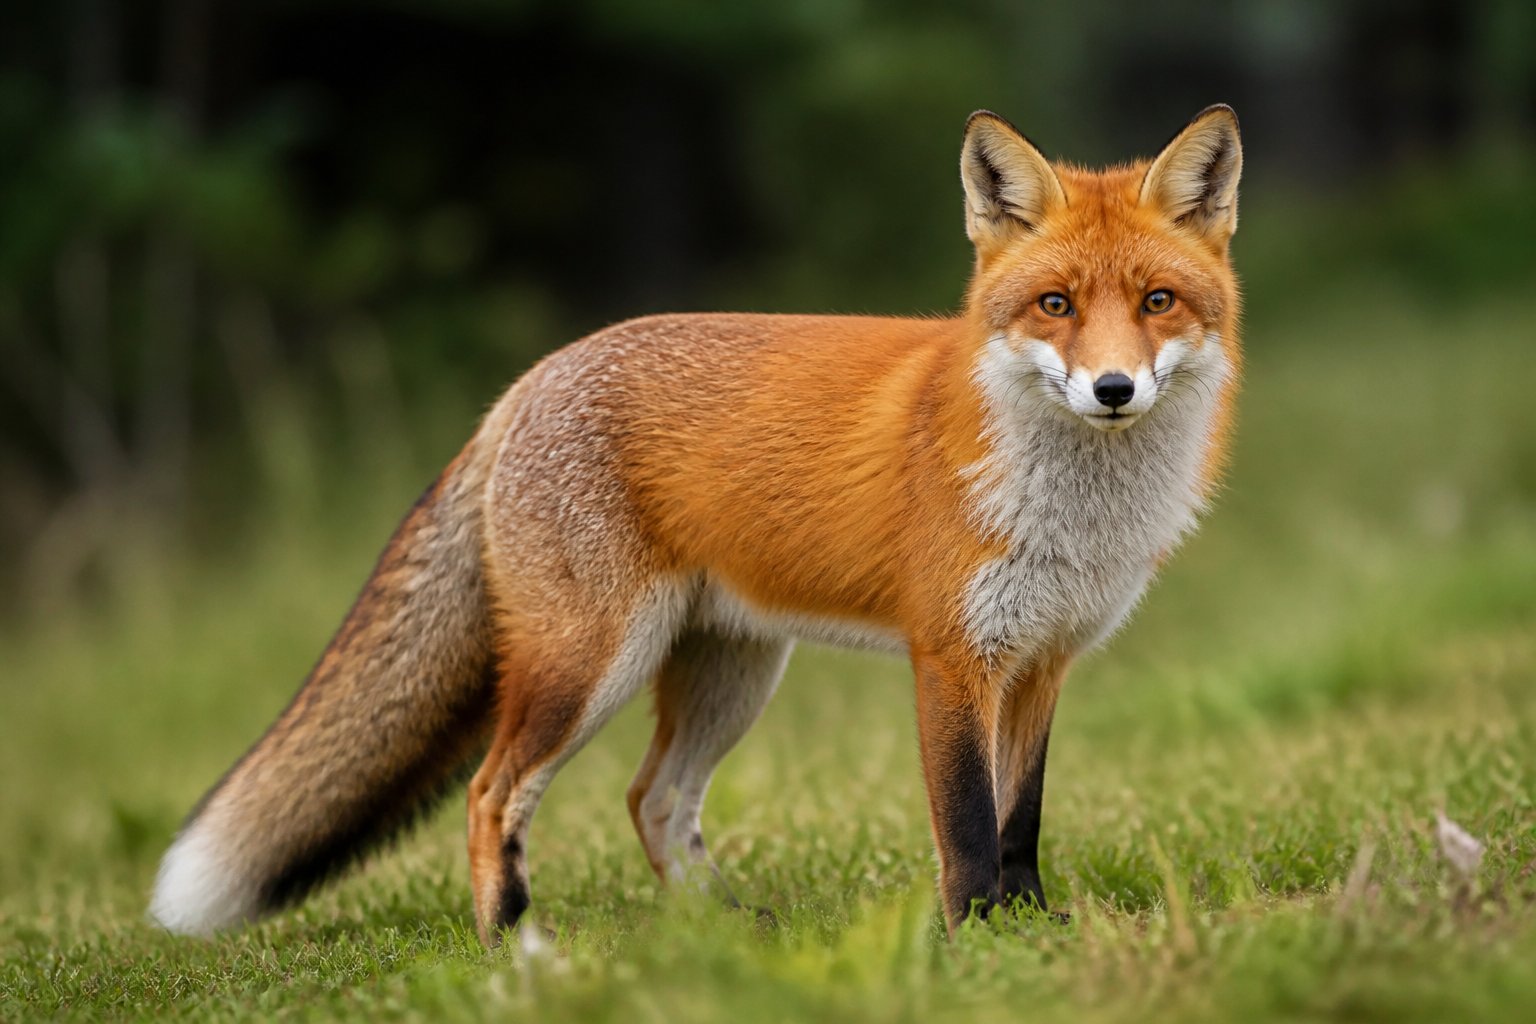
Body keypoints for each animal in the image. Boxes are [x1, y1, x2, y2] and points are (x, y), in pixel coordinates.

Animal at [150, 105, 1243, 945]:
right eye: (1055, 304)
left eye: (1157, 300)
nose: (1113, 388)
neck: (1073, 507)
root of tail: (523, 387)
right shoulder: (951, 657)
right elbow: (969, 822)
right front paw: (976, 939)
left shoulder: (1042, 657)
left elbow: (1021, 819)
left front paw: (1032, 927)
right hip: (590, 664)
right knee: (492, 793)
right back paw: (513, 947)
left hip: (730, 672)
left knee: (655, 799)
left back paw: (722, 931)